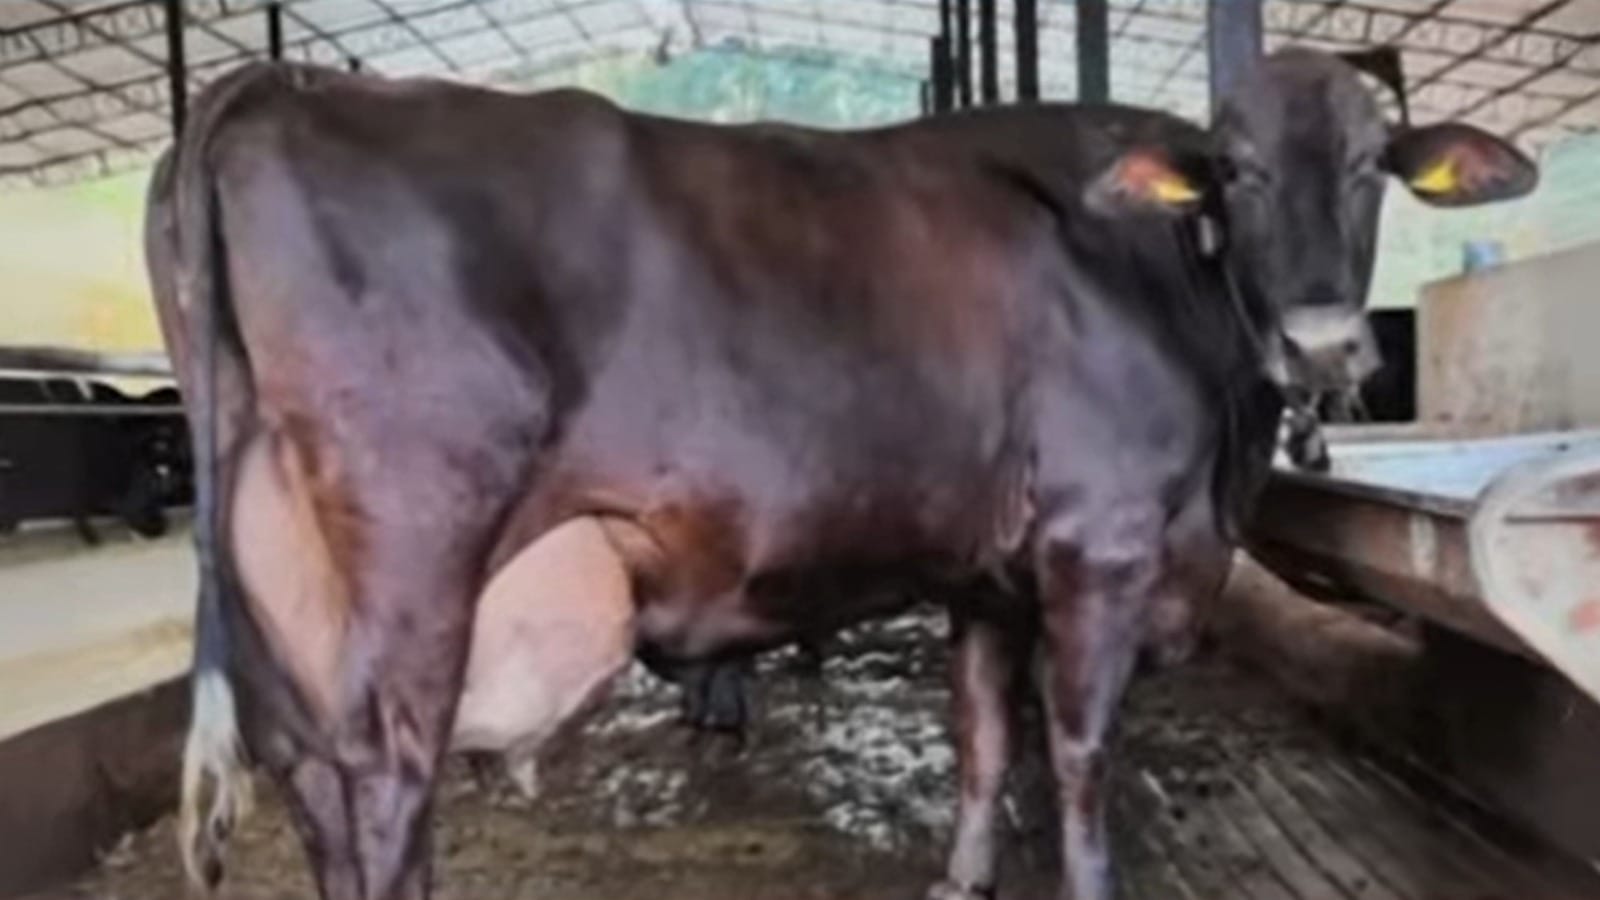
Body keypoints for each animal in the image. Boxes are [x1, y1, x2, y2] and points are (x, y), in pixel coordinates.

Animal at [146, 45, 1534, 900]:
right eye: (1234, 170)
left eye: (1372, 164)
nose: (1324, 343)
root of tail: (277, 81)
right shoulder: (1101, 543)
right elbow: (1079, 747)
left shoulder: (986, 574)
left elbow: (981, 735)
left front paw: (960, 876)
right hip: (414, 549)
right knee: (387, 788)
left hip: (285, 587)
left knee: (315, 782)